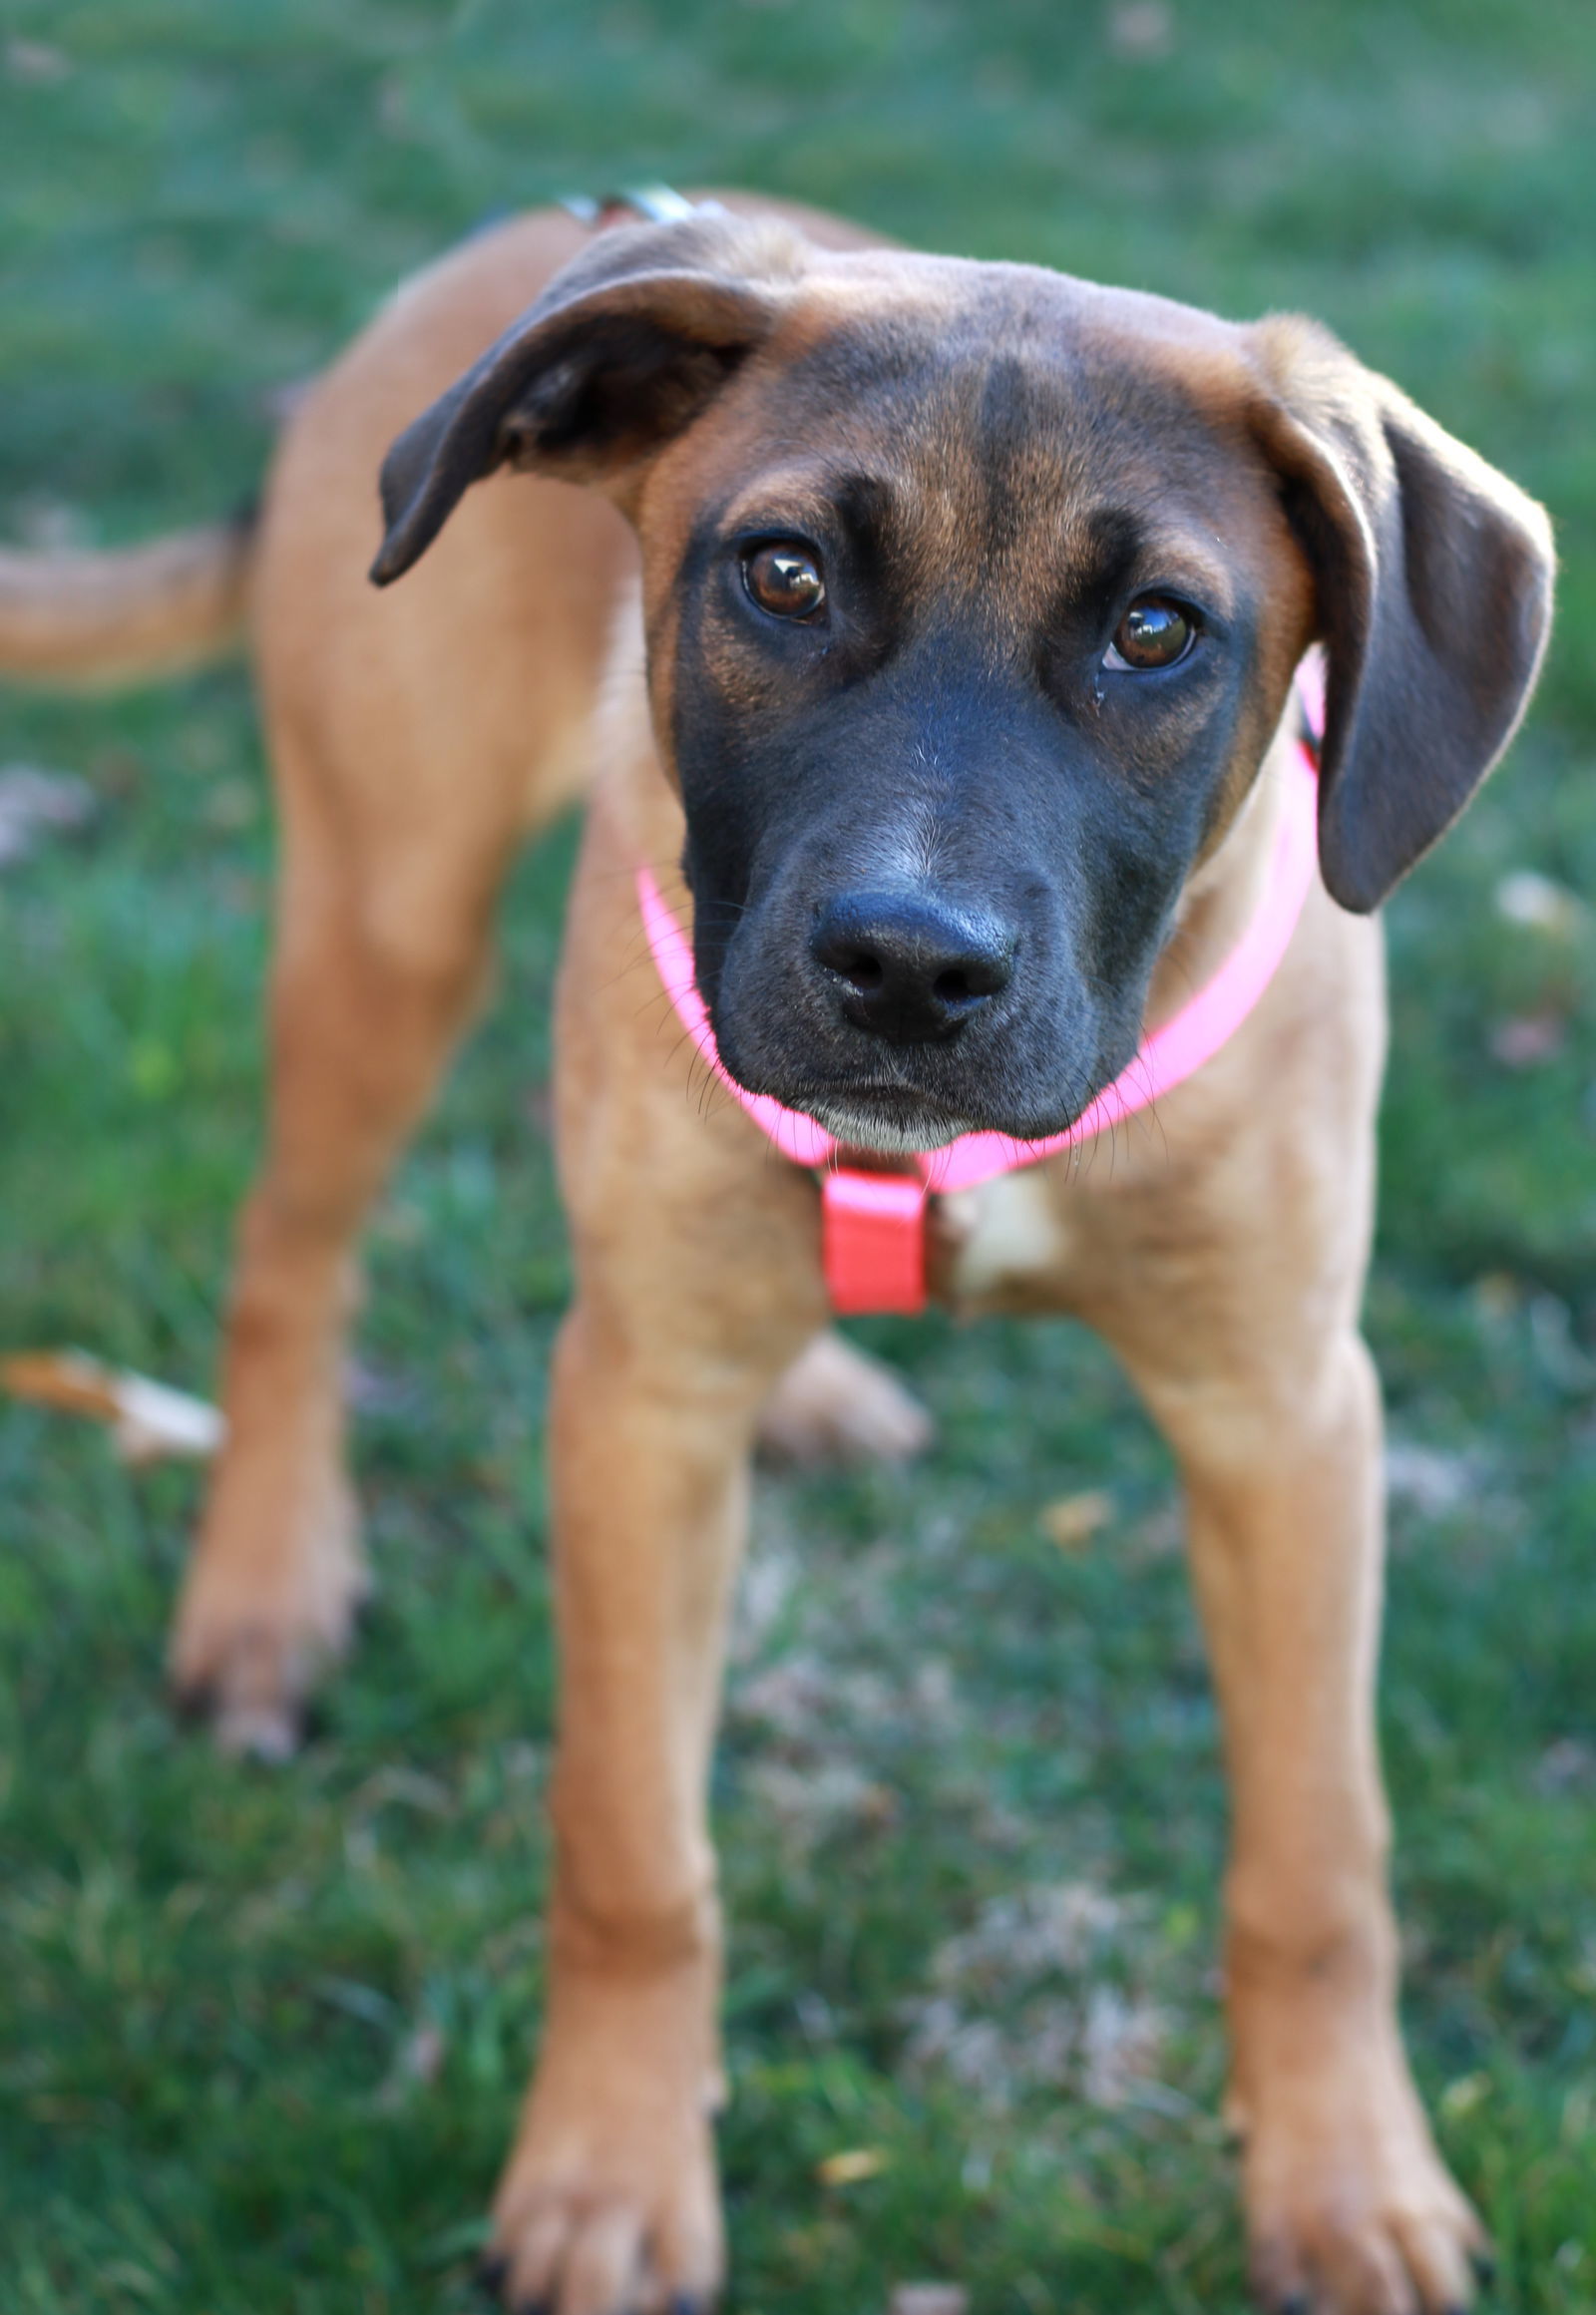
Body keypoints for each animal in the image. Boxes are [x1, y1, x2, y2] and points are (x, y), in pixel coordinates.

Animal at [0, 190, 1547, 2305]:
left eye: (1157, 631)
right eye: (785, 575)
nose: (904, 968)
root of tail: (549, 230)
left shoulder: (1288, 1413)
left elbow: (1320, 1863)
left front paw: (1347, 2184)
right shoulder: (633, 1422)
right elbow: (632, 1849)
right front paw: (607, 2175)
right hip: (389, 919)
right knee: (288, 1265)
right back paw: (263, 1588)